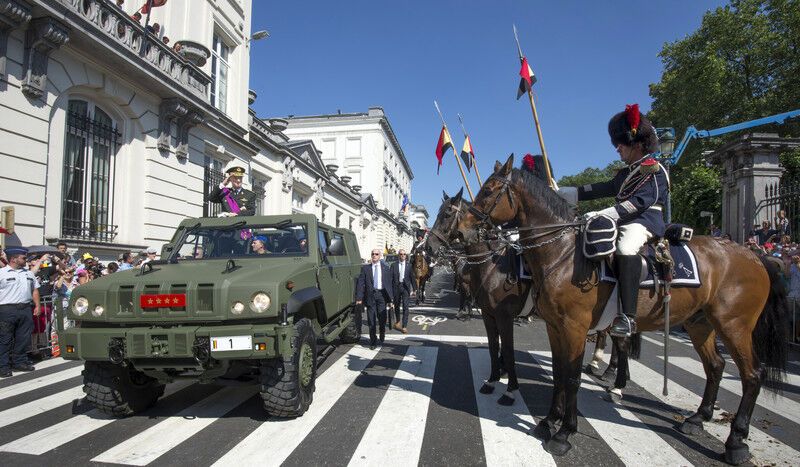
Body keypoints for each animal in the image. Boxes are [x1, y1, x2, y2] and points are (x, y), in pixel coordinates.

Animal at [456, 154, 788, 464]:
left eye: (489, 190)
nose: (461, 233)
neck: (561, 254)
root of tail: (755, 257)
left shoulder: (573, 328)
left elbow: (571, 377)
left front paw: (564, 433)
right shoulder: (553, 326)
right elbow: (560, 374)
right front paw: (548, 422)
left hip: (734, 325)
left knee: (752, 374)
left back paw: (736, 441)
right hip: (700, 323)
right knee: (716, 366)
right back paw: (696, 419)